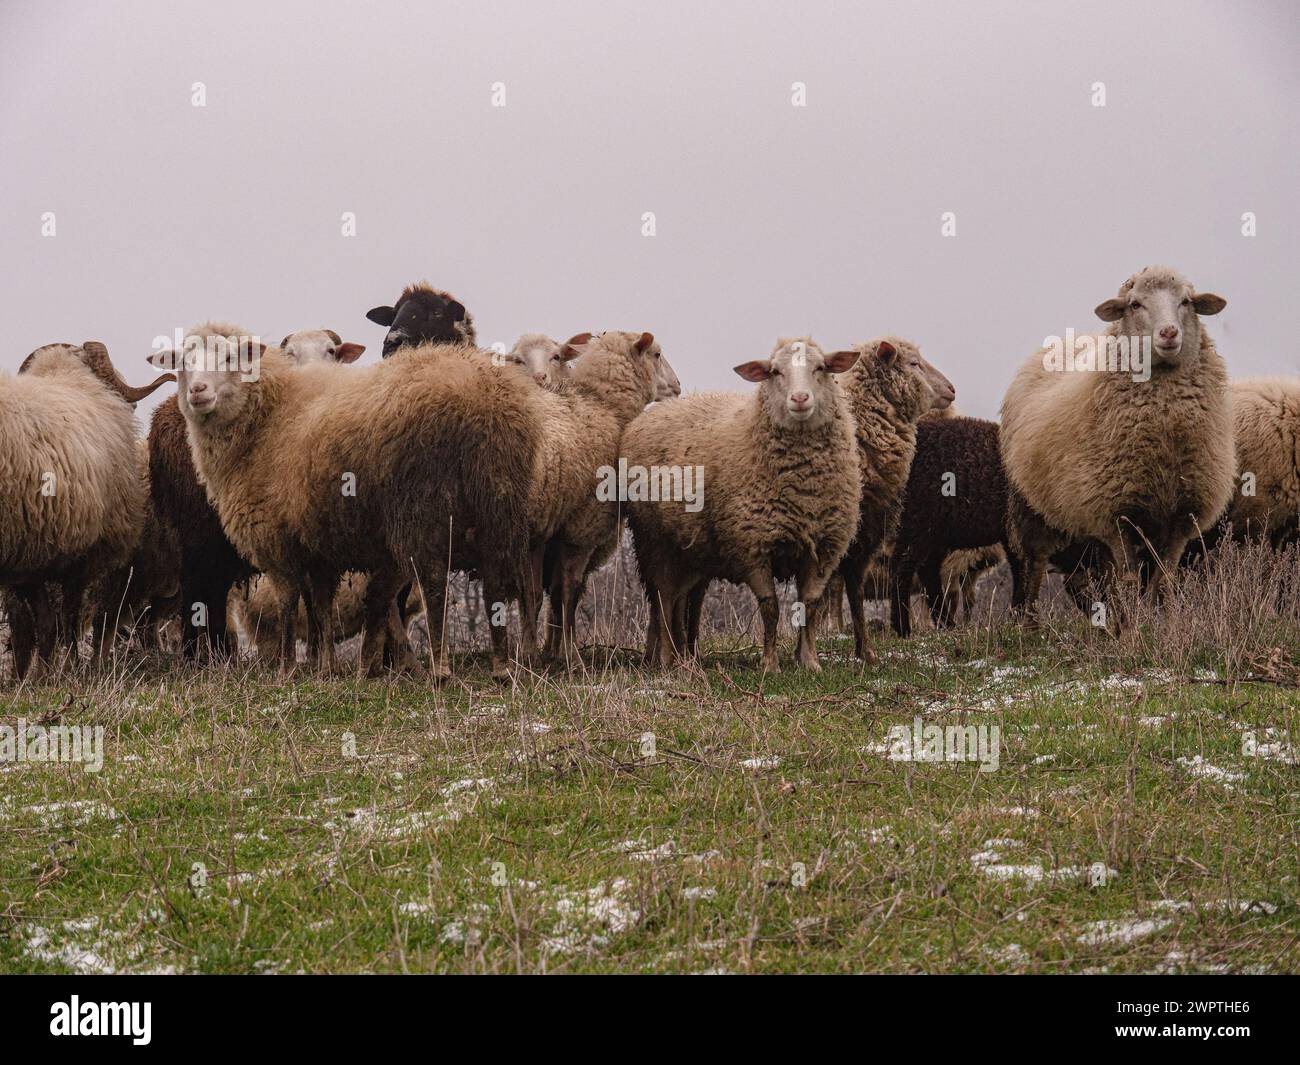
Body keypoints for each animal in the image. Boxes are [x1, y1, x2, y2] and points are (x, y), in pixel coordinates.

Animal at [1, 343, 174, 676]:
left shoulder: (33, 557)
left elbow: (46, 623)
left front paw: (44, 673)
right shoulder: (82, 553)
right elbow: (67, 619)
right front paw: (67, 666)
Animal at [161, 338, 538, 681]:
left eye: (229, 358)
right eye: (183, 363)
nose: (197, 391)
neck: (267, 419)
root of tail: (481, 396)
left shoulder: (276, 540)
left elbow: (289, 603)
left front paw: (287, 670)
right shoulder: (318, 546)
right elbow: (322, 607)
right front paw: (327, 668)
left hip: (421, 506)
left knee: (433, 584)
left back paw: (440, 669)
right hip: (499, 502)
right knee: (494, 584)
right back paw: (501, 668)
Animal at [626, 340, 863, 676]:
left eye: (821, 368)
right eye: (775, 372)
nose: (800, 398)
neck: (803, 491)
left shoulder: (824, 549)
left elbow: (810, 605)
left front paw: (810, 661)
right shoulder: (752, 545)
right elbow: (771, 608)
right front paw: (770, 665)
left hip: (692, 551)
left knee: (683, 598)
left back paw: (684, 655)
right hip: (654, 540)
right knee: (664, 596)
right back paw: (667, 658)